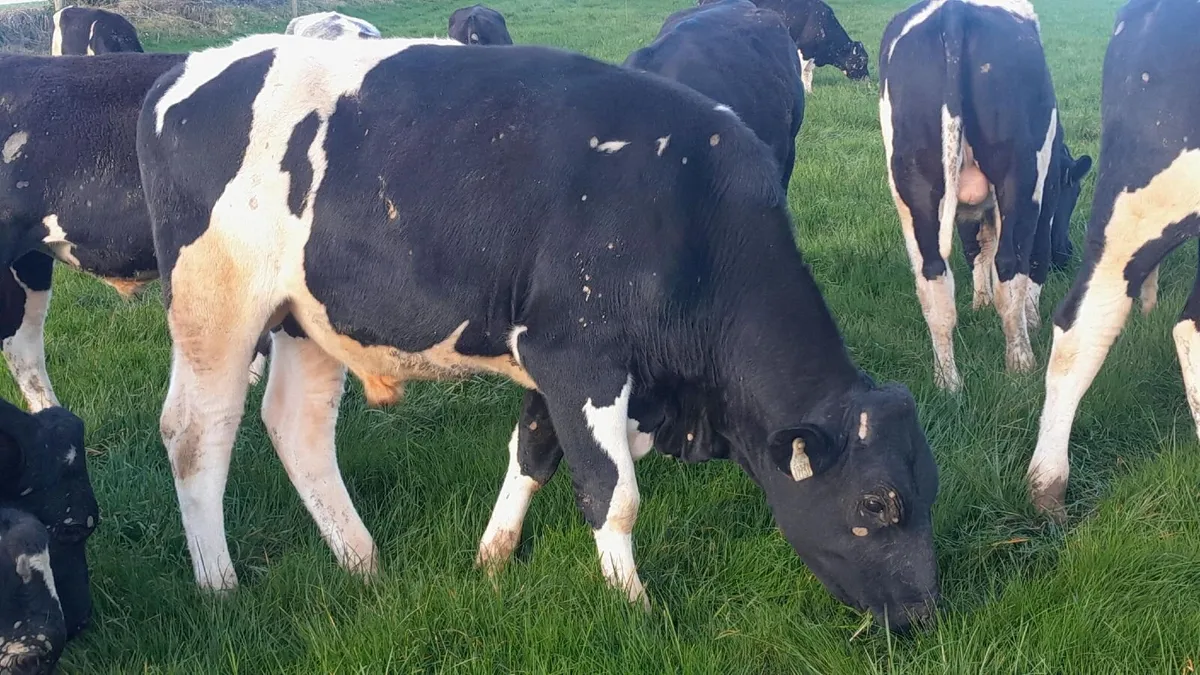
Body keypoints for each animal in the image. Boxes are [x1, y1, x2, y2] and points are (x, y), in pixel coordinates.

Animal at [139, 33, 941, 631]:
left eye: (928, 491)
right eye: (877, 505)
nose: (923, 615)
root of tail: (184, 70)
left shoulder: (550, 357)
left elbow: (533, 452)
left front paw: (492, 558)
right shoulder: (580, 357)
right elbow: (612, 490)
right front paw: (636, 608)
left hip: (307, 320)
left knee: (296, 429)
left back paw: (363, 563)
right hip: (216, 303)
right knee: (196, 431)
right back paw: (219, 583)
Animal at [700, 0, 868, 93]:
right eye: (863, 60)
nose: (868, 81)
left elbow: (808, 75)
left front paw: (809, 92)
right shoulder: (803, 51)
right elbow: (802, 73)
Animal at [878, 0, 1092, 393]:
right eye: (1074, 191)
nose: (1066, 253)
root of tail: (954, 13)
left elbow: (978, 251)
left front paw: (980, 302)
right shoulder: (1048, 194)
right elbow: (1029, 261)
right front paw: (1031, 319)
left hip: (913, 188)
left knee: (933, 277)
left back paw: (947, 382)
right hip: (1020, 177)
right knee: (1011, 263)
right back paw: (1020, 364)